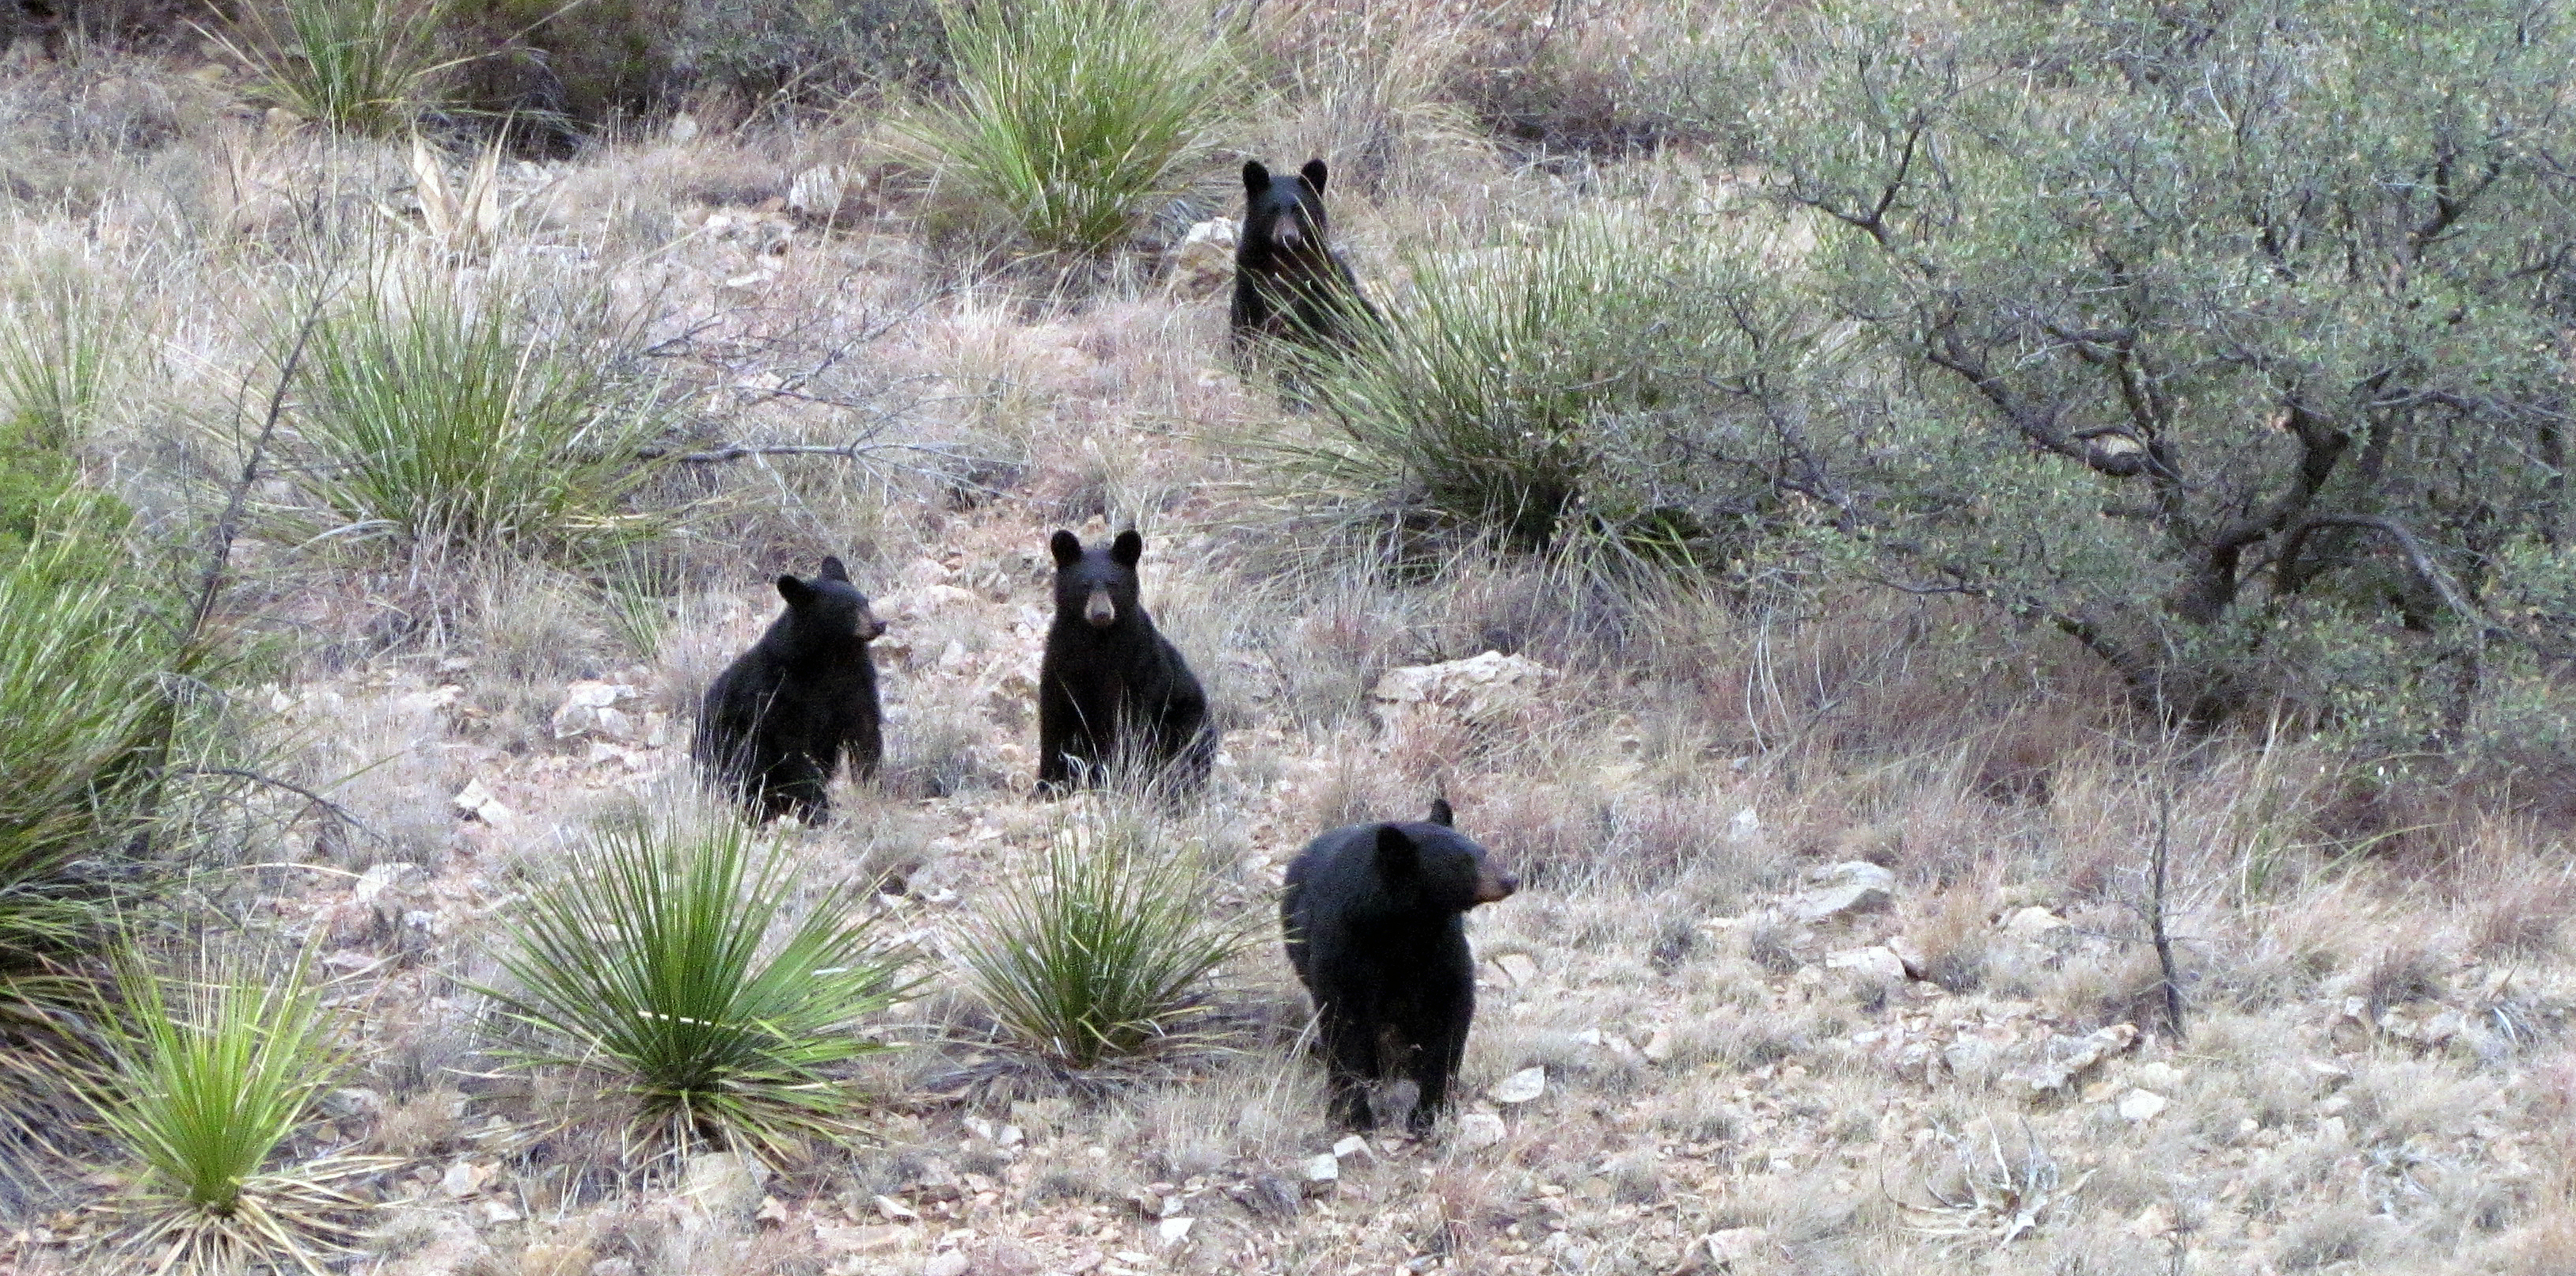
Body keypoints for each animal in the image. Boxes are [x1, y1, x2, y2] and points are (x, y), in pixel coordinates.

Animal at [1030, 526, 1210, 788]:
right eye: (1084, 585)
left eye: (1113, 584)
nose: (1101, 613)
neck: (1097, 640)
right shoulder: (1061, 659)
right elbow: (1054, 719)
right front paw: (1047, 783)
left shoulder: (1136, 665)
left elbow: (1127, 726)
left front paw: (1114, 773)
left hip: (1186, 719)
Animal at [1231, 161, 1381, 360]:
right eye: (1272, 210)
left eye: (1299, 210)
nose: (1288, 237)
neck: (1285, 258)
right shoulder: (1251, 283)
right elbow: (1246, 328)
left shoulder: (1320, 285)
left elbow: (1324, 327)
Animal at [1282, 804, 1514, 1134]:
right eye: (1463, 862)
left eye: (1483, 851)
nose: (1511, 879)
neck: (1402, 923)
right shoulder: (1344, 944)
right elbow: (1343, 1022)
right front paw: (1352, 1115)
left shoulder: (1441, 946)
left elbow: (1449, 1012)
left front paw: (1430, 1113)